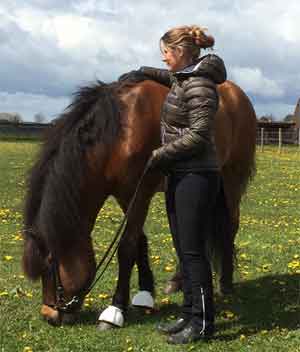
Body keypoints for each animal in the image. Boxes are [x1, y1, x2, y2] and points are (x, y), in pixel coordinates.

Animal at [22, 77, 255, 328]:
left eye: (49, 266)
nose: (49, 316)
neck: (119, 136)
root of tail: (238, 94)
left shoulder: (140, 192)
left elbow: (126, 247)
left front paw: (115, 310)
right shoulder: (127, 196)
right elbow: (140, 241)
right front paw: (145, 293)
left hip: (231, 179)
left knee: (230, 226)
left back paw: (226, 283)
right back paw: (178, 281)